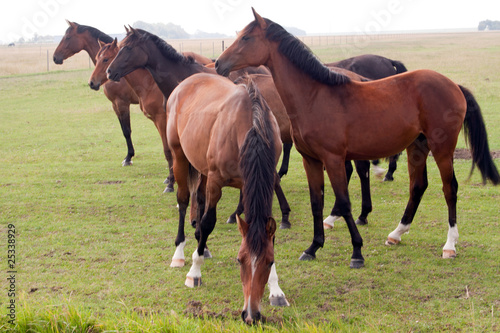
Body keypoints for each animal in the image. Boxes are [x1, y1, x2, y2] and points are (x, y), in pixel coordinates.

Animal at [88, 37, 176, 191]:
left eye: (106, 59)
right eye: (97, 58)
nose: (92, 82)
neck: (151, 85)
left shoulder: (161, 120)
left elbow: (168, 151)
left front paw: (171, 183)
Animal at [166, 73, 288, 322]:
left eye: (269, 261)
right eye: (239, 260)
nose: (251, 315)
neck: (251, 127)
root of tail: (185, 83)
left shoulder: (265, 182)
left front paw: (276, 289)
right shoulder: (215, 182)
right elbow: (208, 222)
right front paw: (194, 272)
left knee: (198, 198)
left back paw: (201, 245)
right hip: (179, 157)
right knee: (184, 200)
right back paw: (180, 252)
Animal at [216, 9, 500, 268]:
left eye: (246, 38)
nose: (219, 64)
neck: (315, 97)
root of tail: (454, 85)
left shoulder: (333, 159)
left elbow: (343, 201)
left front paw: (356, 251)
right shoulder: (311, 160)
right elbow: (316, 202)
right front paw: (313, 247)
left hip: (442, 148)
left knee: (449, 188)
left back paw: (449, 245)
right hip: (417, 147)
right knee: (418, 187)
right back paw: (397, 233)